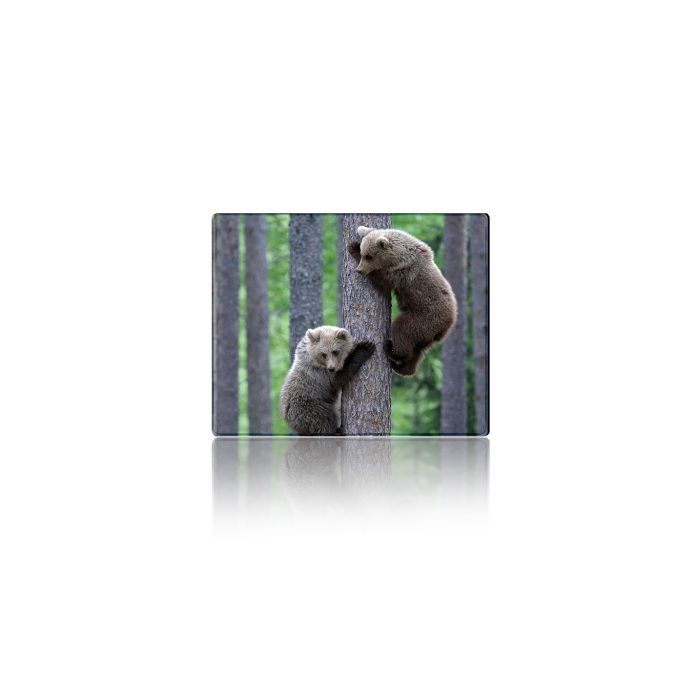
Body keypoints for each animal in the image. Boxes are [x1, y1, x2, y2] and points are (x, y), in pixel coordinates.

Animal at [349, 225, 457, 376]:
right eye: (364, 253)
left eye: (369, 256)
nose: (359, 270)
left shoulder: (402, 274)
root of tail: (447, 324)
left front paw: (352, 248)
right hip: (427, 334)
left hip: (424, 318)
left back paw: (391, 350)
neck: (399, 256)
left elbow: (383, 283)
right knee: (418, 351)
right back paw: (403, 367)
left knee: (402, 330)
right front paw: (359, 233)